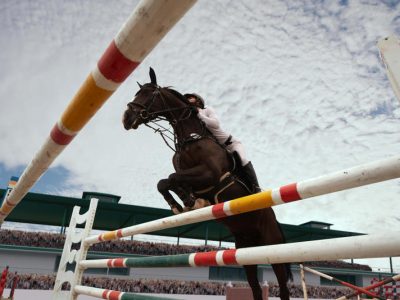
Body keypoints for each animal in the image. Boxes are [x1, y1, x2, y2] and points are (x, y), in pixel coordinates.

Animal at [121, 68, 290, 300]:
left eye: (149, 94)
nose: (126, 118)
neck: (191, 137)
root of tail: (273, 217)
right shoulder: (188, 175)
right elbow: (165, 182)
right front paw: (183, 203)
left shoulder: (209, 174)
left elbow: (171, 178)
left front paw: (188, 201)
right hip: (246, 250)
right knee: (255, 287)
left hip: (271, 247)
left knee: (282, 285)